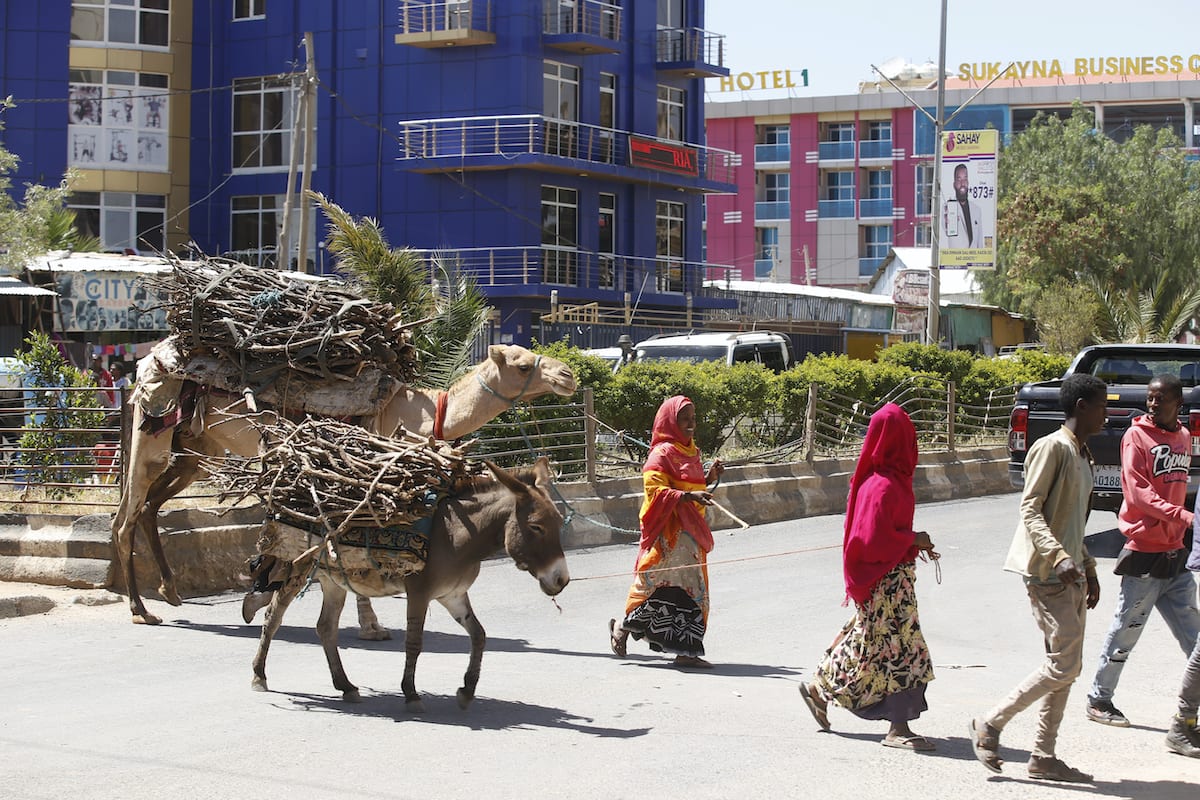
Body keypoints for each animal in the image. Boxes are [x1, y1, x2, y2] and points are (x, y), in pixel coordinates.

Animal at [112, 340, 576, 628]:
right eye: (521, 364)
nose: (568, 374)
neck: (424, 413)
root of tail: (146, 366)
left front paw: (258, 593)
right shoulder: (367, 474)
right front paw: (370, 624)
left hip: (192, 449)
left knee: (147, 508)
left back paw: (170, 591)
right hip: (152, 432)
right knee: (125, 517)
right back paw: (140, 609)